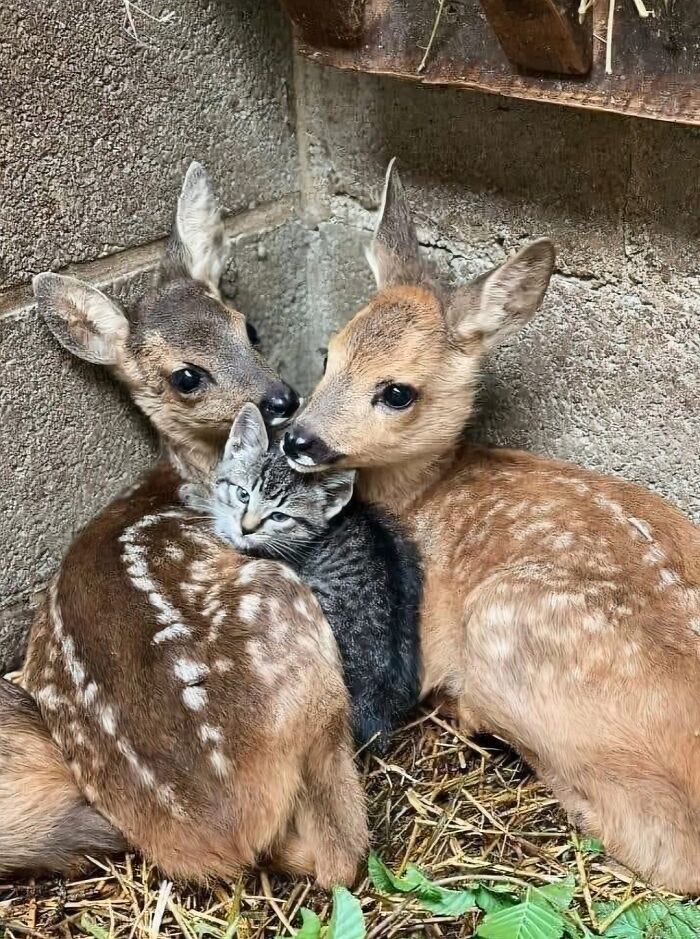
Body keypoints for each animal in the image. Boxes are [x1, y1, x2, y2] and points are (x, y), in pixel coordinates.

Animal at [1, 162, 368, 886]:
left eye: (247, 328)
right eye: (187, 377)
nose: (281, 397)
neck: (188, 480)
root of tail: (223, 825)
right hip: (289, 618)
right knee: (341, 852)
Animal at [282, 160, 700, 895]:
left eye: (397, 392)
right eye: (329, 354)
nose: (299, 439)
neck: (424, 494)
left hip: (506, 624)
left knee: (665, 847)